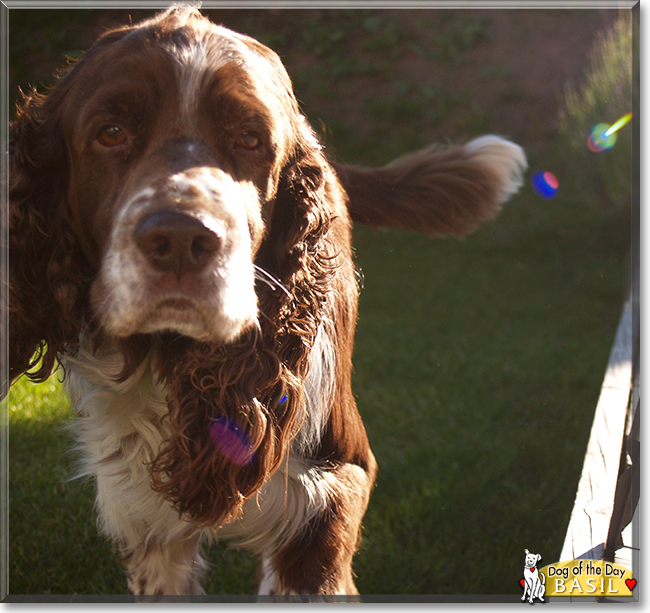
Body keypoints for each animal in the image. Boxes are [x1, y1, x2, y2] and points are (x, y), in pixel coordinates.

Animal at [6, 5, 528, 596]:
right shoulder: (142, 519)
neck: (174, 366)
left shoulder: (329, 495)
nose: (181, 239)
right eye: (111, 132)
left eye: (250, 139)